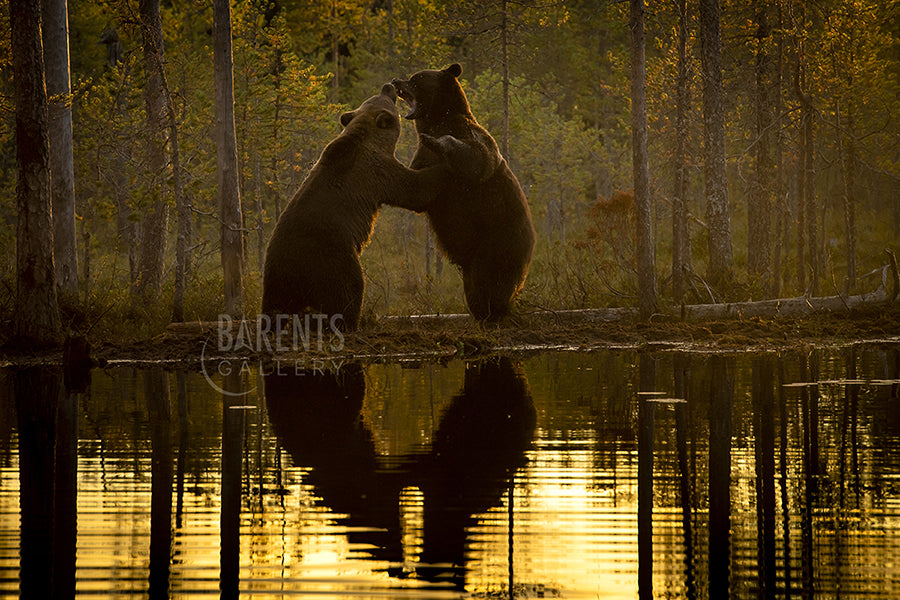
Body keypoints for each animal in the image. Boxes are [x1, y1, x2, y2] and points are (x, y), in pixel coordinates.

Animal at [262, 82, 444, 330]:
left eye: (379, 95)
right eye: (388, 99)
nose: (388, 85)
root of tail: (293, 273)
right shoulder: (377, 173)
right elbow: (414, 190)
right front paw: (445, 168)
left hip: (275, 274)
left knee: (273, 305)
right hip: (333, 259)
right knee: (350, 290)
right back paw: (350, 322)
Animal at [388, 63, 532, 324]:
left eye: (415, 78)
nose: (396, 81)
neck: (437, 120)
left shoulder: (474, 140)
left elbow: (474, 158)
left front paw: (436, 141)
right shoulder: (422, 161)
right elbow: (417, 192)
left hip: (499, 239)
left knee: (494, 280)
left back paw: (496, 311)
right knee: (474, 286)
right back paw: (481, 312)